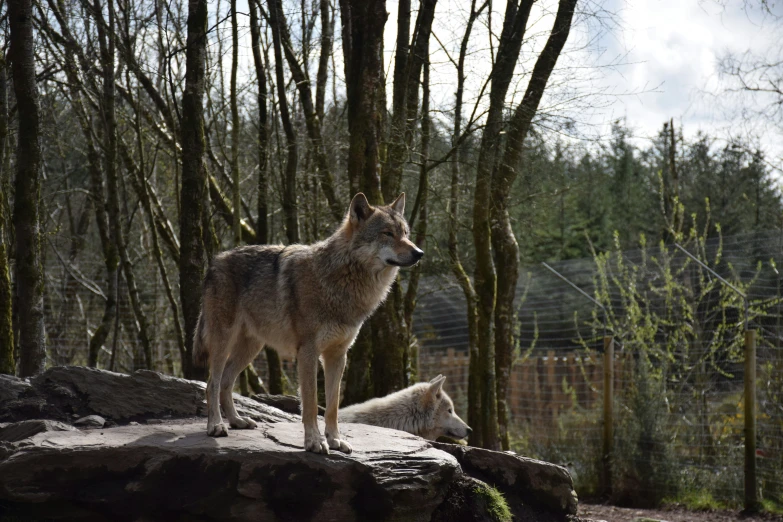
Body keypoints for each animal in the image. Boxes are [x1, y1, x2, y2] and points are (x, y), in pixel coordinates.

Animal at [194, 193, 422, 452]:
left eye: (405, 233)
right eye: (387, 233)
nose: (419, 253)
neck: (341, 279)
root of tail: (215, 261)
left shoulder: (338, 355)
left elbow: (332, 406)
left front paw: (335, 440)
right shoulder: (308, 352)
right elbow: (312, 404)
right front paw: (314, 442)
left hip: (251, 348)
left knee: (226, 382)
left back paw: (237, 421)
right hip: (223, 343)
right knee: (212, 383)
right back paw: (216, 426)